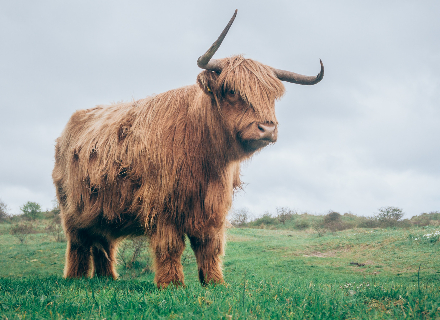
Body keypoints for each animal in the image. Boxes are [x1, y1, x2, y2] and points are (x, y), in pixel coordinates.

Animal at [52, 11, 324, 288]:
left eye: (271, 96)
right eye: (232, 91)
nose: (267, 128)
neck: (204, 155)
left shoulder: (212, 207)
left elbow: (209, 246)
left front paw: (214, 282)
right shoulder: (162, 203)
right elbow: (170, 246)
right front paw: (171, 284)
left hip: (102, 210)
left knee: (103, 242)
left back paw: (107, 278)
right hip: (72, 209)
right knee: (79, 243)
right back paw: (75, 277)